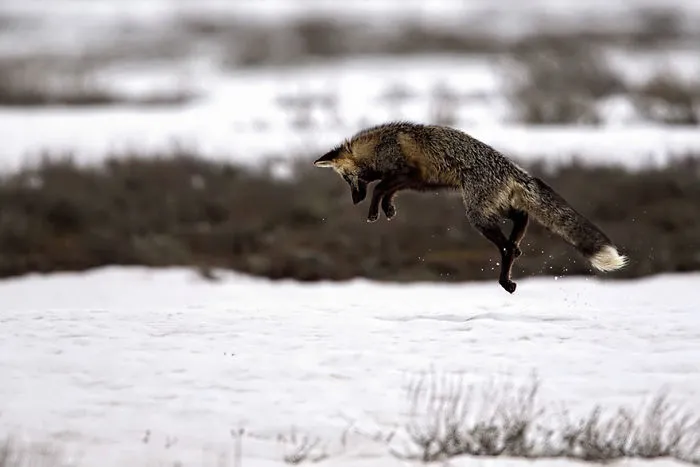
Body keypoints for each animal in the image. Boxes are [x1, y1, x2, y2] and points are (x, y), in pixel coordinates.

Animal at [313, 121, 628, 294]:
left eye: (347, 179)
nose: (354, 200)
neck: (379, 146)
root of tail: (513, 170)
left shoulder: (407, 173)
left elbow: (380, 187)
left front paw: (375, 211)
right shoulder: (416, 181)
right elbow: (388, 189)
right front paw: (387, 210)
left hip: (477, 214)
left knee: (507, 246)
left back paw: (508, 267)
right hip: (494, 208)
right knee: (520, 220)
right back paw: (508, 274)